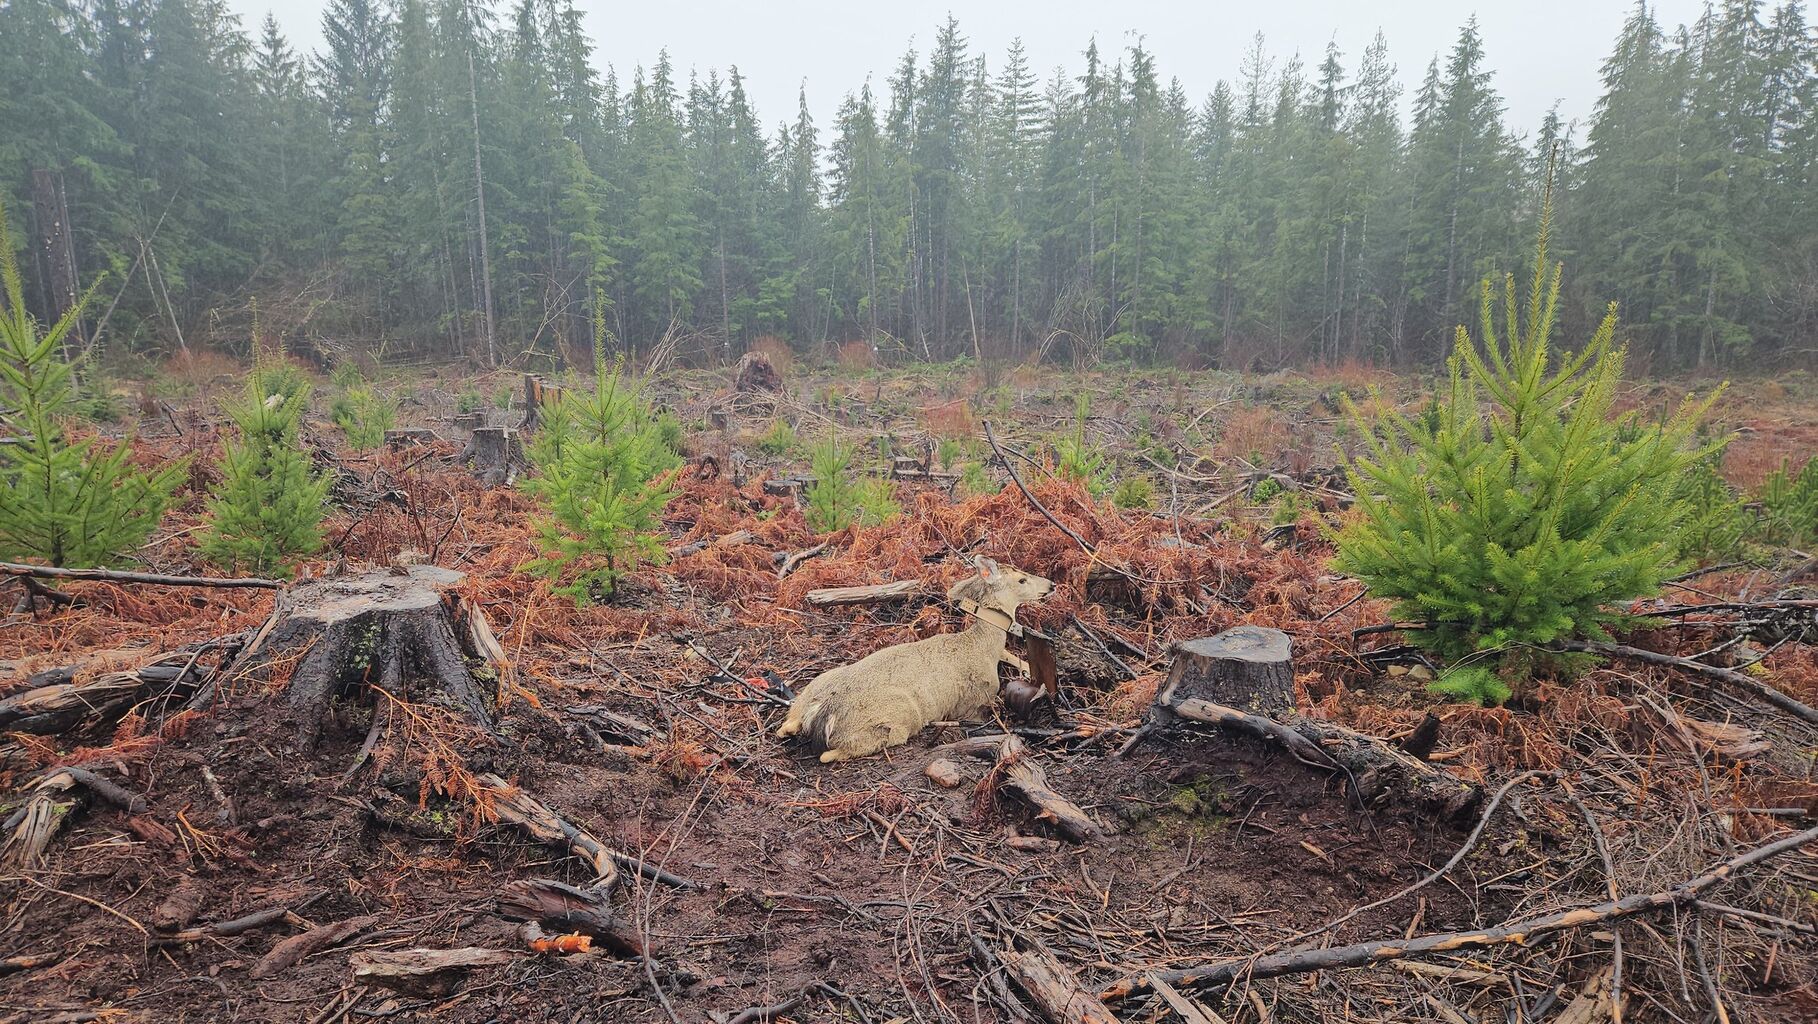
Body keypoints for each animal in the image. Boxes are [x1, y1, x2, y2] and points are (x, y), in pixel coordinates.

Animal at [775, 558, 1055, 763]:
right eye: (1022, 579)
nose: (1051, 584)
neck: (982, 648)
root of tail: (823, 709)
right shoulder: (974, 704)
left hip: (810, 690)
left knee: (785, 727)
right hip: (900, 715)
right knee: (831, 753)